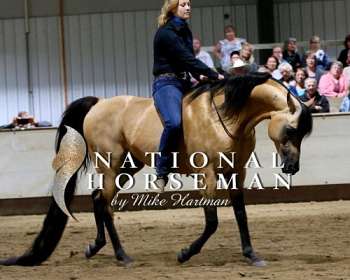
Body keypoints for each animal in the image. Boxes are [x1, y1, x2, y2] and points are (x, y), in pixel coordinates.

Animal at [0, 72, 312, 266]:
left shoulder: (236, 172)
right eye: (291, 129)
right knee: (105, 204)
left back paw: (96, 247)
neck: (224, 117)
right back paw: (122, 256)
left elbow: (241, 214)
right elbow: (212, 221)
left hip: (127, 167)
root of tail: (99, 104)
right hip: (111, 166)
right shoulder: (208, 175)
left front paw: (251, 254)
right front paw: (185, 253)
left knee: (98, 199)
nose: (292, 167)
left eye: (302, 133)